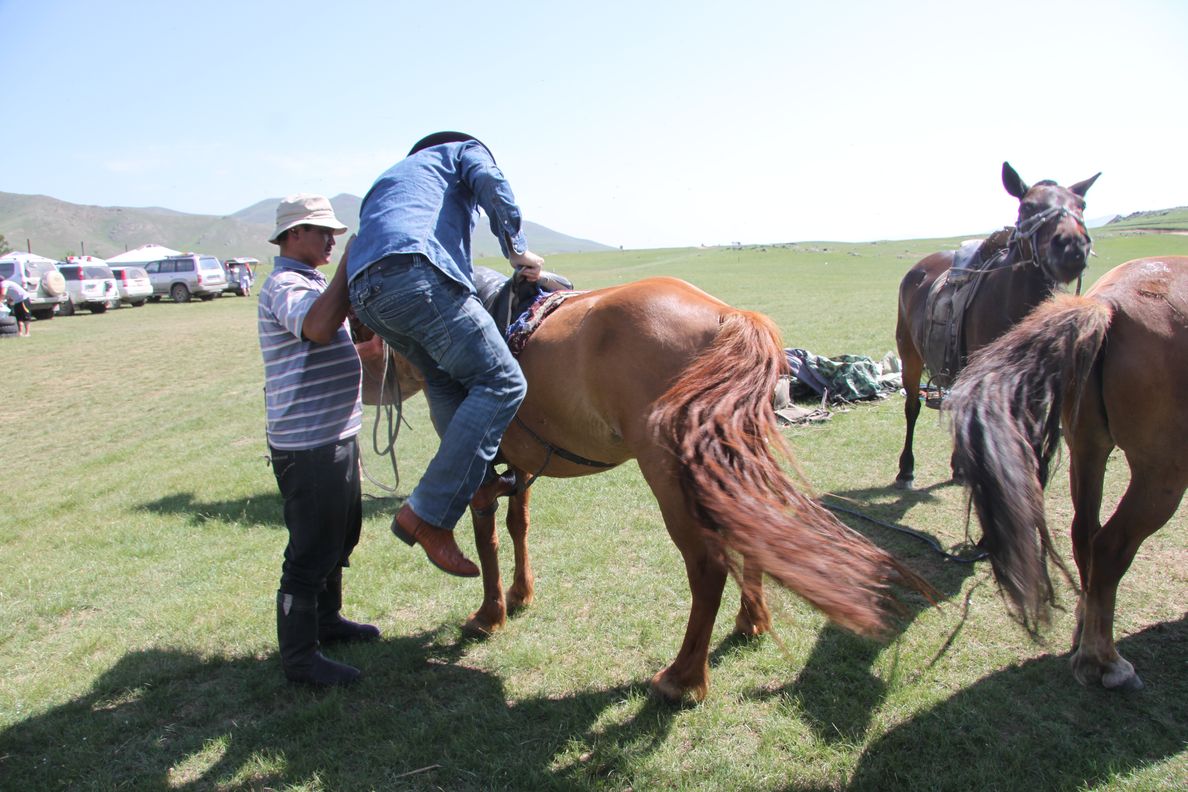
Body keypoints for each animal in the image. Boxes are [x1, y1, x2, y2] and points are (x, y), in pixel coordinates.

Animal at [356, 277, 931, 698]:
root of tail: (728, 316)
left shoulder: (476, 470)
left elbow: (486, 539)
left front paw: (488, 614)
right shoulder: (519, 465)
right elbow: (519, 525)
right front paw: (520, 596)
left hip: (670, 479)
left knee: (708, 569)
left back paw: (682, 681)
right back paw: (750, 624)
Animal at [893, 161, 1097, 489]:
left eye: (1081, 205)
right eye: (1028, 206)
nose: (1072, 247)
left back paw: (959, 467)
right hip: (910, 355)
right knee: (912, 407)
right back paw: (906, 470)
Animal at [945, 257, 1188, 688]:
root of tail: (1109, 303)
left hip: (1088, 447)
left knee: (1084, 536)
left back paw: (1083, 631)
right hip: (1160, 472)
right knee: (1109, 546)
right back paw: (1104, 661)